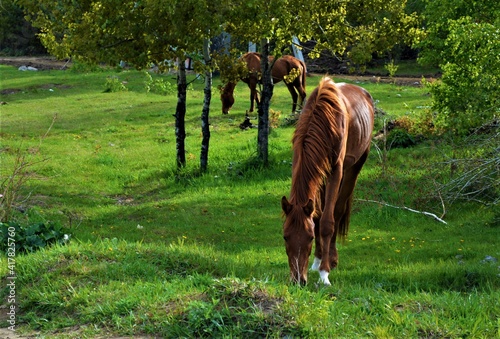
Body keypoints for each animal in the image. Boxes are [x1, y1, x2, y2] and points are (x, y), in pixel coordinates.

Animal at [280, 77, 374, 286]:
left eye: (309, 238)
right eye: (285, 237)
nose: (298, 280)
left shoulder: (335, 171)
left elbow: (327, 223)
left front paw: (324, 273)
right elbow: (316, 217)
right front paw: (317, 263)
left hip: (355, 165)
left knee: (337, 211)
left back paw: (332, 260)